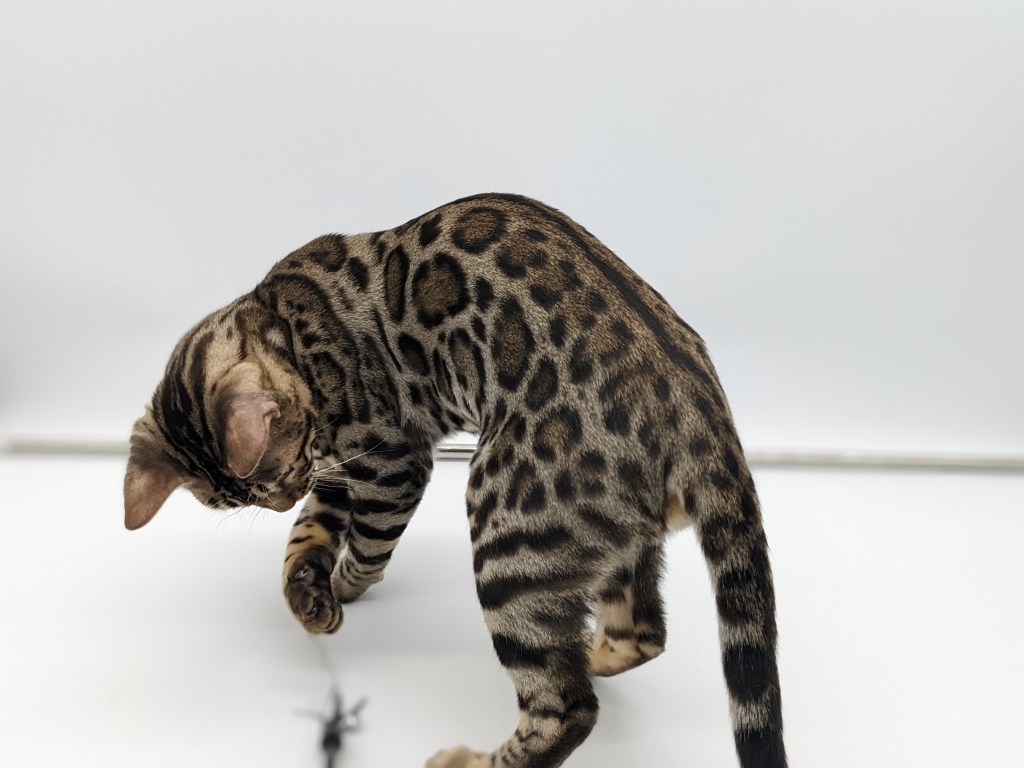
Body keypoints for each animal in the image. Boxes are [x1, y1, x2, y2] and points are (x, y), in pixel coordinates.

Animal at [124, 193, 786, 768]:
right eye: (245, 500)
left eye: (276, 479)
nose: (284, 496)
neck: (280, 316)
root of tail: (704, 415)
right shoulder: (336, 467)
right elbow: (308, 533)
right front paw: (308, 595)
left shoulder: (390, 462)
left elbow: (365, 548)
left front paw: (342, 587)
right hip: (610, 543)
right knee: (642, 636)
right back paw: (593, 654)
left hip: (505, 532)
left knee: (567, 709)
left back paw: (471, 760)